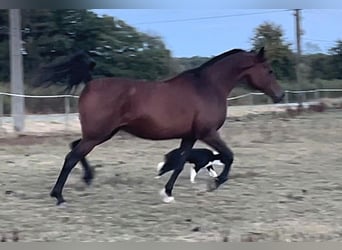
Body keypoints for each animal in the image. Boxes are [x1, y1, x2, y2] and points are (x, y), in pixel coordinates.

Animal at [36, 47, 284, 205]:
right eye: (269, 70)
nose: (280, 95)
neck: (208, 87)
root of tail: (91, 82)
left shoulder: (190, 136)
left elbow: (181, 162)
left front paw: (168, 193)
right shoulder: (208, 133)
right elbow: (229, 156)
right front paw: (214, 184)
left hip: (101, 133)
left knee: (74, 148)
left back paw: (87, 178)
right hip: (97, 134)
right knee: (72, 156)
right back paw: (59, 196)